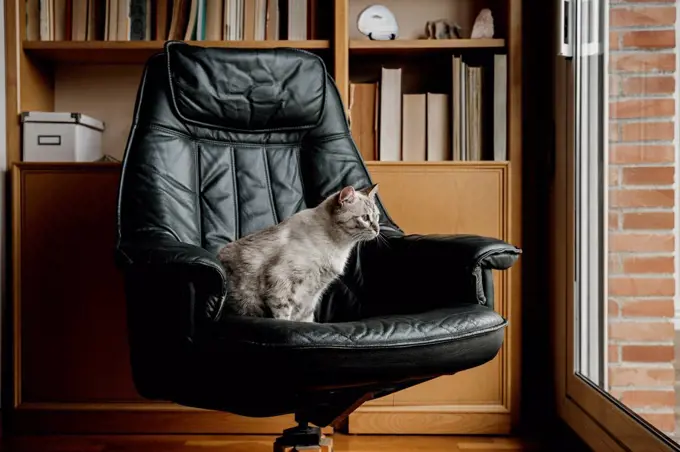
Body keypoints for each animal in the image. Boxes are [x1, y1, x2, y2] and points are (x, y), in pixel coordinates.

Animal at [216, 182, 380, 324]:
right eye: (365, 218)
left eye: (377, 216)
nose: (377, 229)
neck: (340, 247)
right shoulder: (280, 282)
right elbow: (284, 316)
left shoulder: (311, 297)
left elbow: (306, 319)